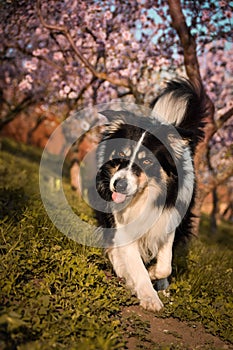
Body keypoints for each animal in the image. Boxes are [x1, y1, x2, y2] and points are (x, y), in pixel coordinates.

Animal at [93, 79, 206, 312]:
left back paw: (163, 286)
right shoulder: (122, 225)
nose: (118, 185)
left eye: (147, 161)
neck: (144, 197)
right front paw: (148, 296)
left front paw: (155, 276)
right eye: (122, 154)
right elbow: (135, 263)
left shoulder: (169, 218)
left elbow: (165, 264)